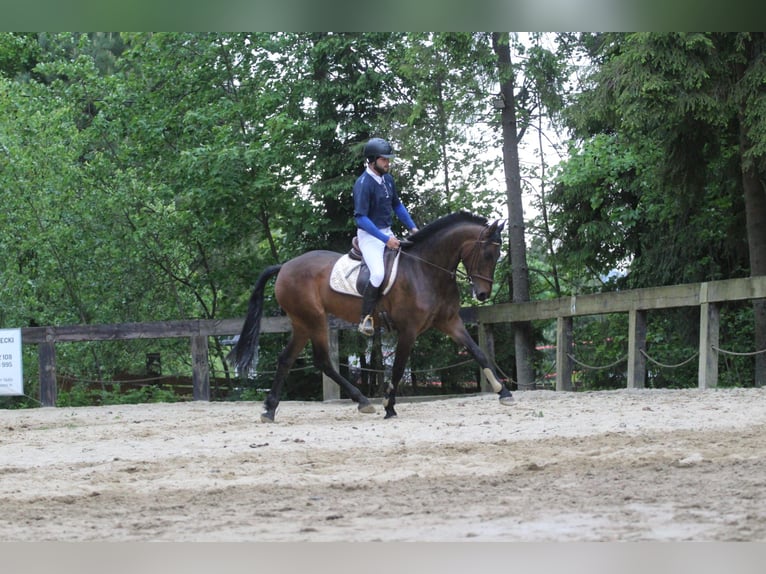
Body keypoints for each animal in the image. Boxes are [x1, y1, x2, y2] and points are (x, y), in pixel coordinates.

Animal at [228, 212, 516, 424]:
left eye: (497, 255)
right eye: (488, 254)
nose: (482, 294)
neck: (425, 269)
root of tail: (285, 266)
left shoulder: (450, 322)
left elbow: (478, 352)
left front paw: (504, 392)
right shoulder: (408, 330)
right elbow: (398, 367)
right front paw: (389, 406)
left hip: (302, 323)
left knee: (290, 360)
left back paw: (271, 409)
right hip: (313, 319)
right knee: (321, 361)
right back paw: (363, 402)